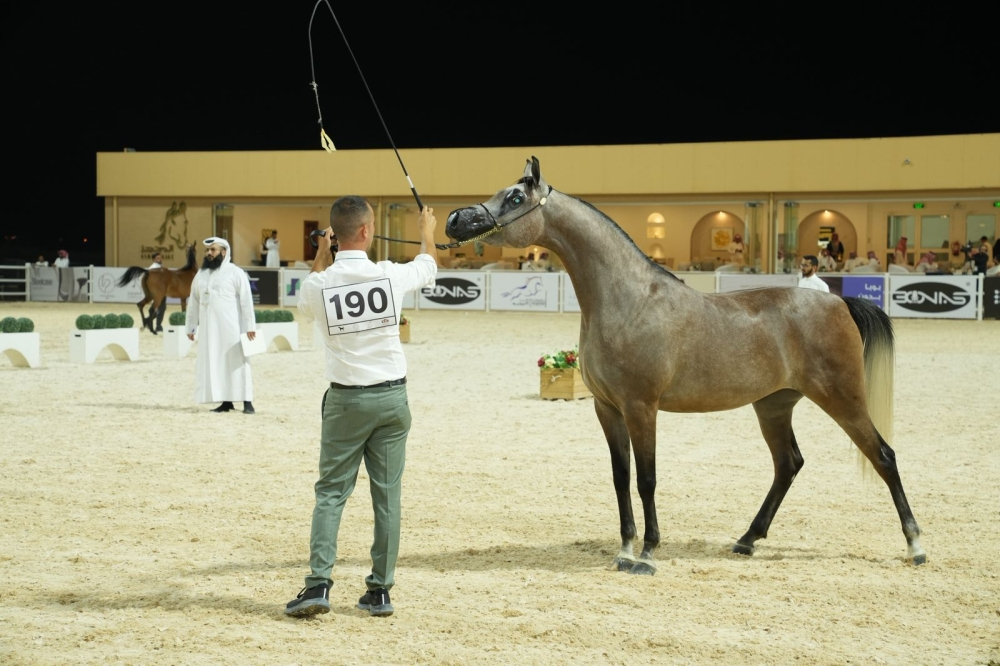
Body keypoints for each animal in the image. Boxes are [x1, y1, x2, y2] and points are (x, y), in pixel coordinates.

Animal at [444, 156, 926, 574]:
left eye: (514, 197)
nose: (455, 220)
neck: (630, 299)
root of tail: (839, 302)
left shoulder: (642, 407)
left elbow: (646, 479)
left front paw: (647, 555)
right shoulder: (607, 408)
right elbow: (620, 478)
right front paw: (624, 550)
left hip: (842, 399)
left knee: (883, 456)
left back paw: (915, 545)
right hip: (773, 405)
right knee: (788, 464)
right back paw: (746, 540)